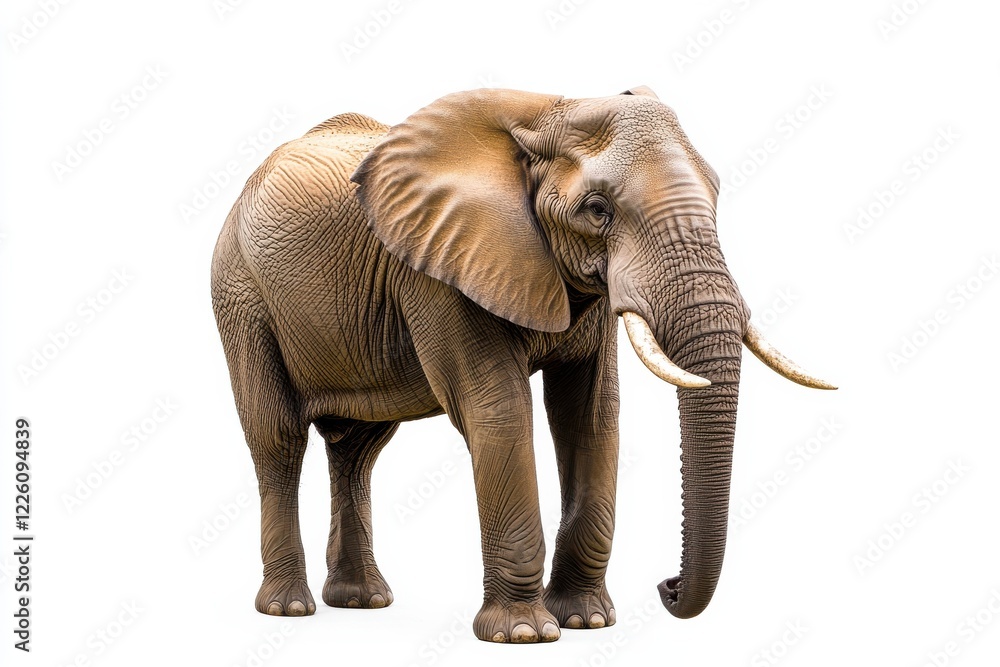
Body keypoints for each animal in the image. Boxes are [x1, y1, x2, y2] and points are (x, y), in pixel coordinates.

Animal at [210, 85, 835, 644]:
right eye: (598, 210)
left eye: (717, 196)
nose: (668, 587)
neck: (549, 111)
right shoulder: (438, 266)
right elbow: (499, 409)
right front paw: (524, 634)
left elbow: (591, 416)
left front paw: (587, 622)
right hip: (241, 294)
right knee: (278, 438)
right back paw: (289, 608)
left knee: (358, 450)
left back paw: (362, 601)